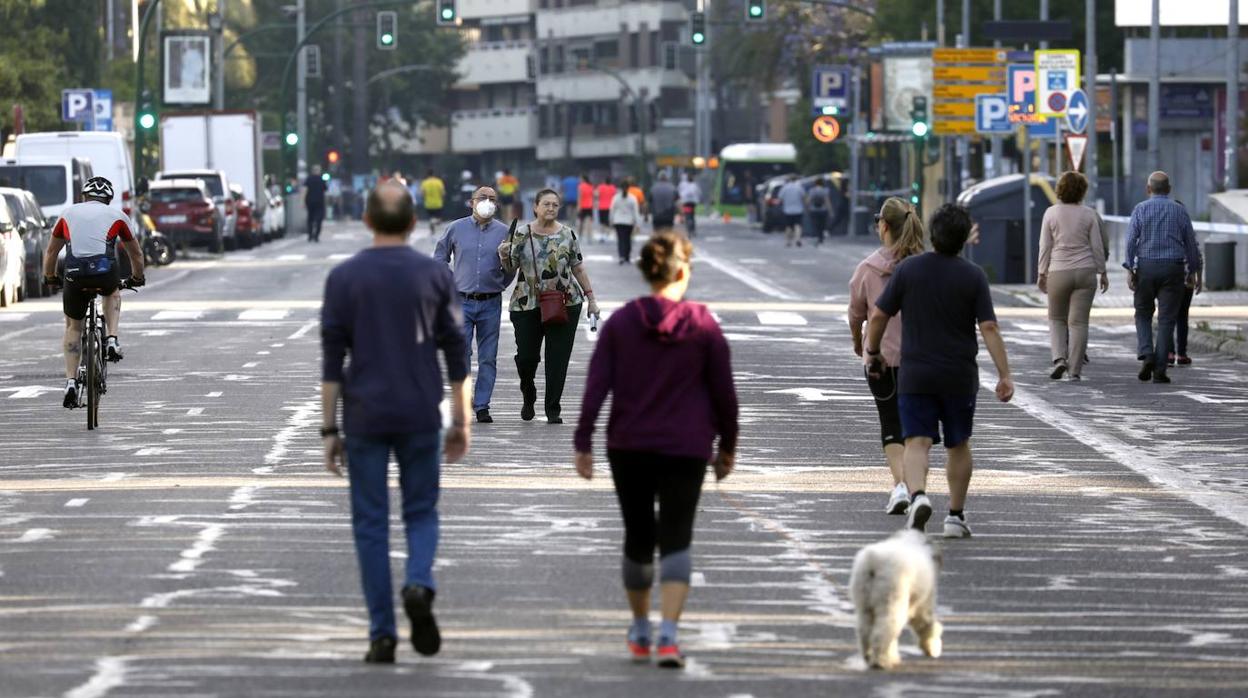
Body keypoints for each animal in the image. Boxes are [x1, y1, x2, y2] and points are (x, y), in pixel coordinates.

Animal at [848, 529, 943, 674]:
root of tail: (873, 560)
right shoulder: (924, 601)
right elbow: (925, 623)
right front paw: (931, 647)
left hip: (864, 599)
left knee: (865, 629)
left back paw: (870, 656)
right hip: (891, 597)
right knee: (884, 629)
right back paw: (880, 661)